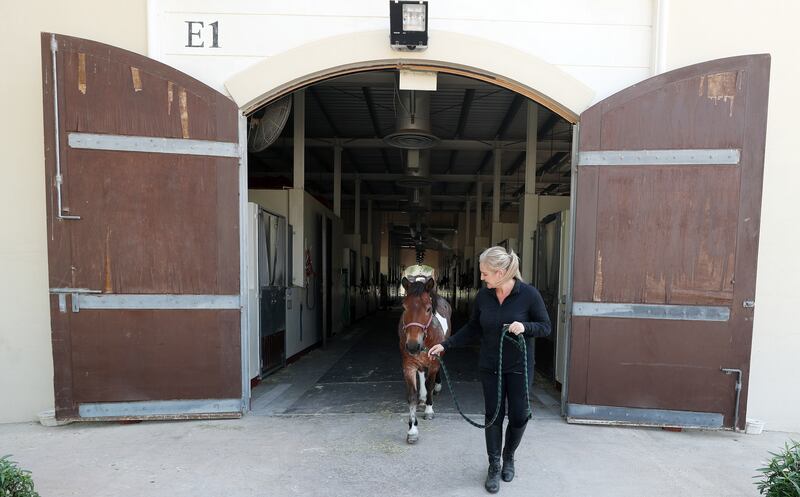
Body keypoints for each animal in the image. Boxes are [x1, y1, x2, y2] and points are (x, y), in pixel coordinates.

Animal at [398, 276, 450, 442]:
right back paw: (422, 397)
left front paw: (428, 410)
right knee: (421, 373)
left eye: (428, 309)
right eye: (404, 307)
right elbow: (412, 395)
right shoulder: (408, 366)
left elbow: (430, 384)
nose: (413, 346)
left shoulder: (433, 363)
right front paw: (412, 430)